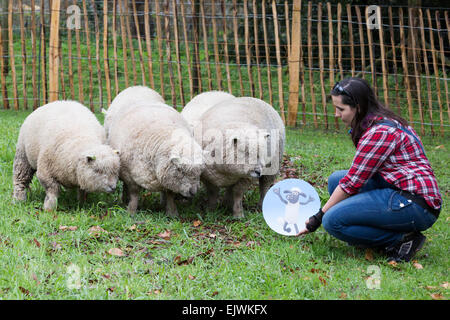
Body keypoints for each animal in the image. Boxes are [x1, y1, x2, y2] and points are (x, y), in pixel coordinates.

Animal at [104, 87, 205, 218]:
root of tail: (139, 87)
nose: (193, 192)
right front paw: (131, 212)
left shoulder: (167, 177)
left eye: (199, 172)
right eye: (180, 170)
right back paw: (125, 200)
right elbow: (134, 194)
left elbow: (170, 194)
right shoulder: (129, 174)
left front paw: (172, 213)